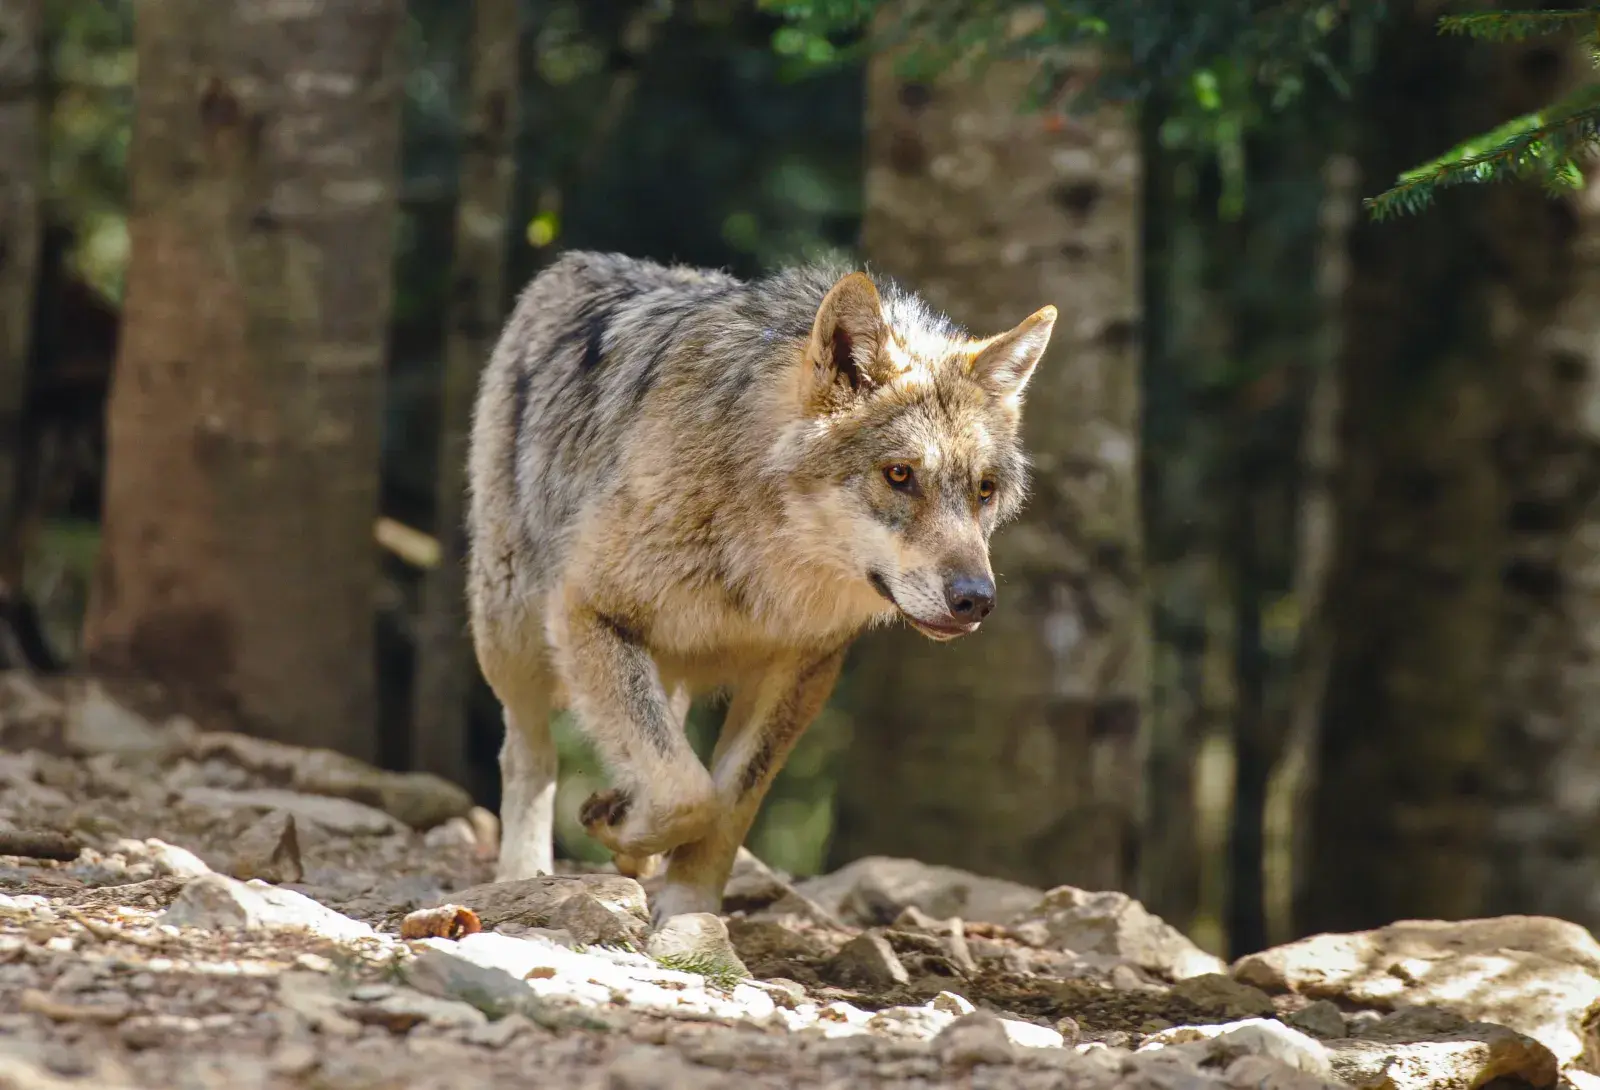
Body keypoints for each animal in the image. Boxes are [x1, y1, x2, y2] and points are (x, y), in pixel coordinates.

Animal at [465, 250, 1055, 923]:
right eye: (899, 475)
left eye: (984, 489)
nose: (976, 600)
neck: (768, 563)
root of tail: (579, 262)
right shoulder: (587, 610)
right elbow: (689, 792)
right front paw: (616, 825)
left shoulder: (799, 673)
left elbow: (724, 806)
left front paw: (687, 911)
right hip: (514, 635)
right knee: (529, 754)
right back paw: (525, 873)